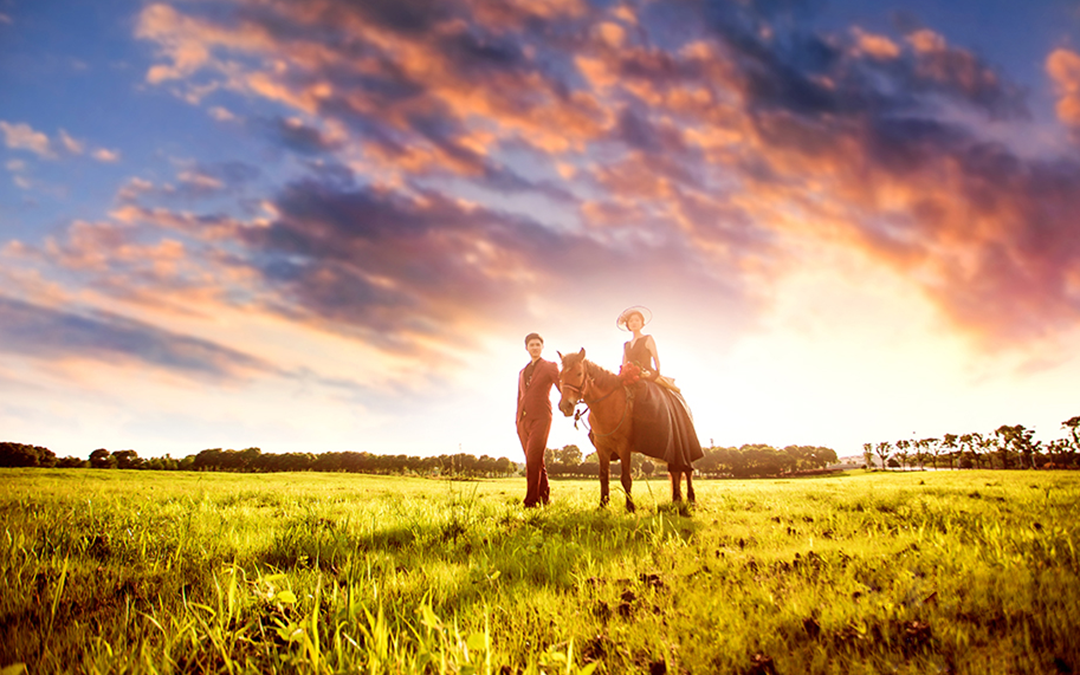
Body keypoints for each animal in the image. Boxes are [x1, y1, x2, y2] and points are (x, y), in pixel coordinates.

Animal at [561, 347, 695, 509]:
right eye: (561, 375)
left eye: (579, 373)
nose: (564, 406)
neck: (609, 404)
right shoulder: (602, 448)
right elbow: (603, 476)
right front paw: (603, 505)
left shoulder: (624, 447)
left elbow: (626, 478)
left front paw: (630, 507)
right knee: (676, 471)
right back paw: (676, 499)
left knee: (687, 471)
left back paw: (691, 499)